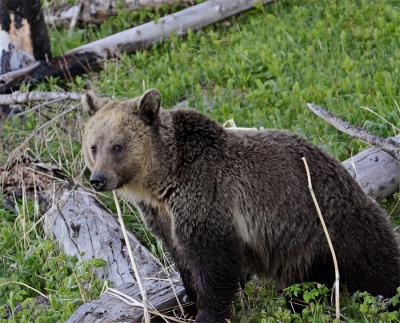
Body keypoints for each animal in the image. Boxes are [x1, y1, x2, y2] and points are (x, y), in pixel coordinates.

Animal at [82, 89, 400, 323]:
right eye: (94, 146)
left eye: (118, 146)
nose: (97, 179)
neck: (162, 181)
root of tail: (345, 174)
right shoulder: (162, 216)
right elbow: (182, 258)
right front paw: (189, 298)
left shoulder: (206, 197)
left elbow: (214, 263)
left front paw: (207, 313)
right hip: (302, 251)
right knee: (305, 283)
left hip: (334, 222)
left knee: (377, 267)